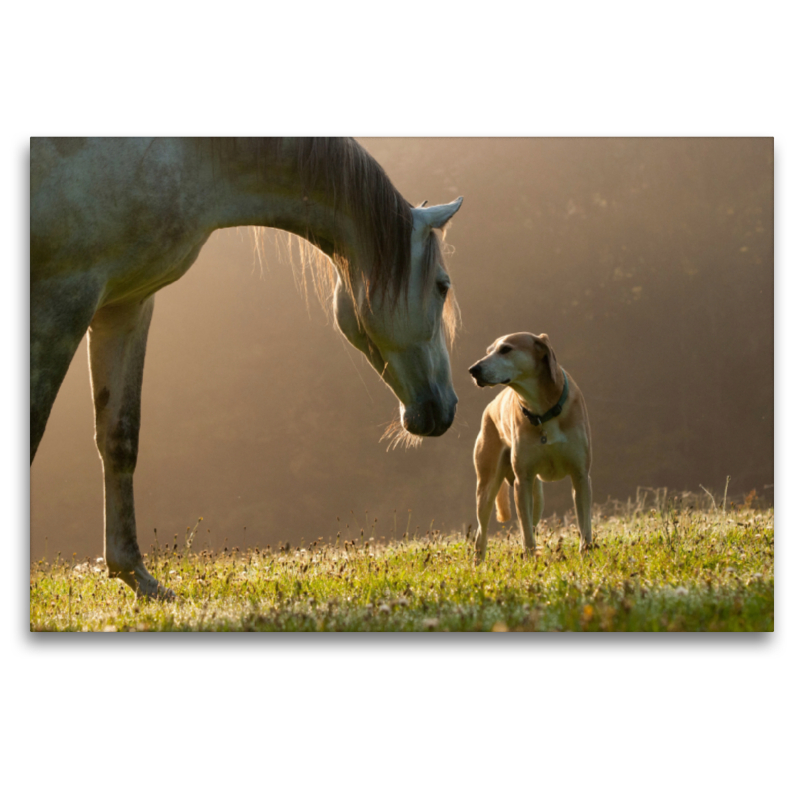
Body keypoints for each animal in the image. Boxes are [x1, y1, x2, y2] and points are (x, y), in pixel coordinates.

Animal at [31, 139, 462, 600]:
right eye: (442, 285)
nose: (447, 406)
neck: (184, 154)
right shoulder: (64, 297)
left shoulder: (125, 304)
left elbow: (119, 437)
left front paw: (135, 574)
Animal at [466, 332, 592, 564]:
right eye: (488, 351)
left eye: (506, 349)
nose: (473, 369)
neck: (542, 410)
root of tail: (490, 406)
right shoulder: (522, 481)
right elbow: (525, 532)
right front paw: (530, 560)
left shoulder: (580, 475)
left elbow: (584, 524)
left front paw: (587, 556)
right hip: (488, 486)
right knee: (481, 532)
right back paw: (478, 564)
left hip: (538, 498)